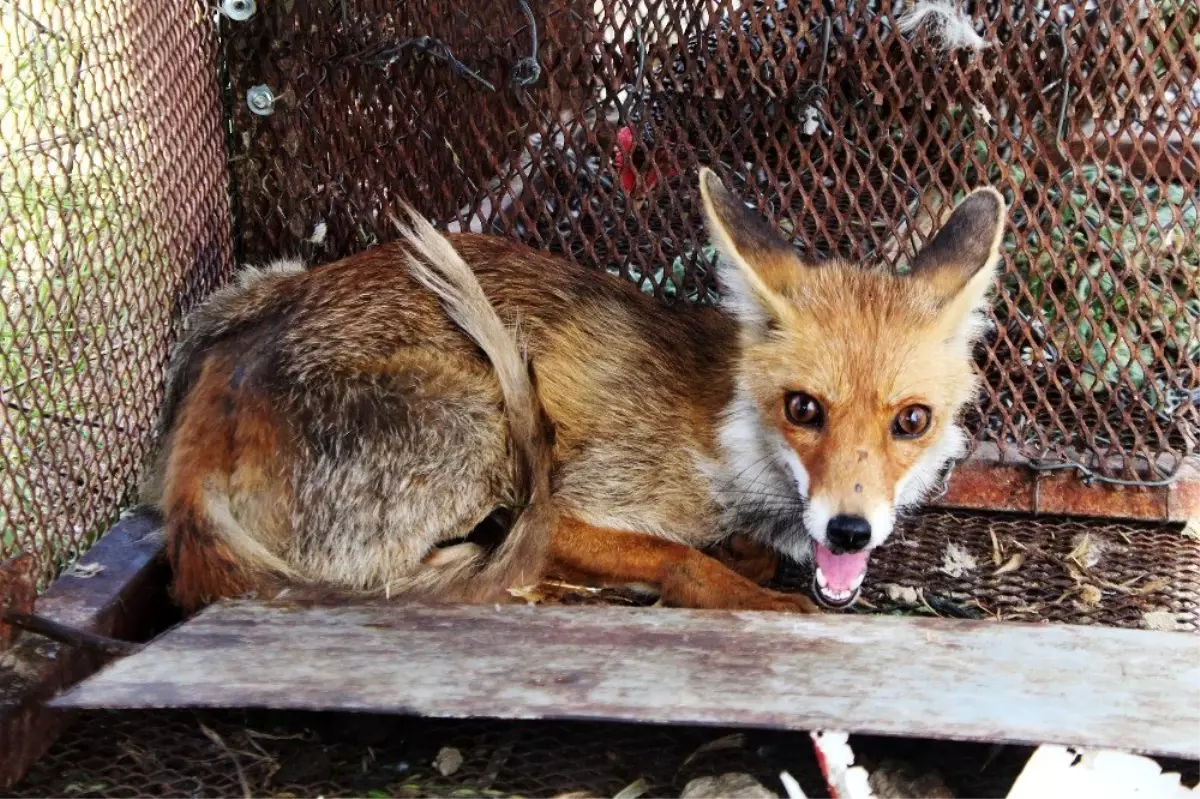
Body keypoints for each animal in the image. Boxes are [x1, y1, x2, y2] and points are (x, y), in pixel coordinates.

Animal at [142, 167, 1003, 609]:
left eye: (912, 421)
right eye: (803, 409)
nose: (850, 531)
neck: (730, 444)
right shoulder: (567, 506)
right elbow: (682, 559)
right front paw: (755, 597)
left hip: (259, 284)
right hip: (482, 428)